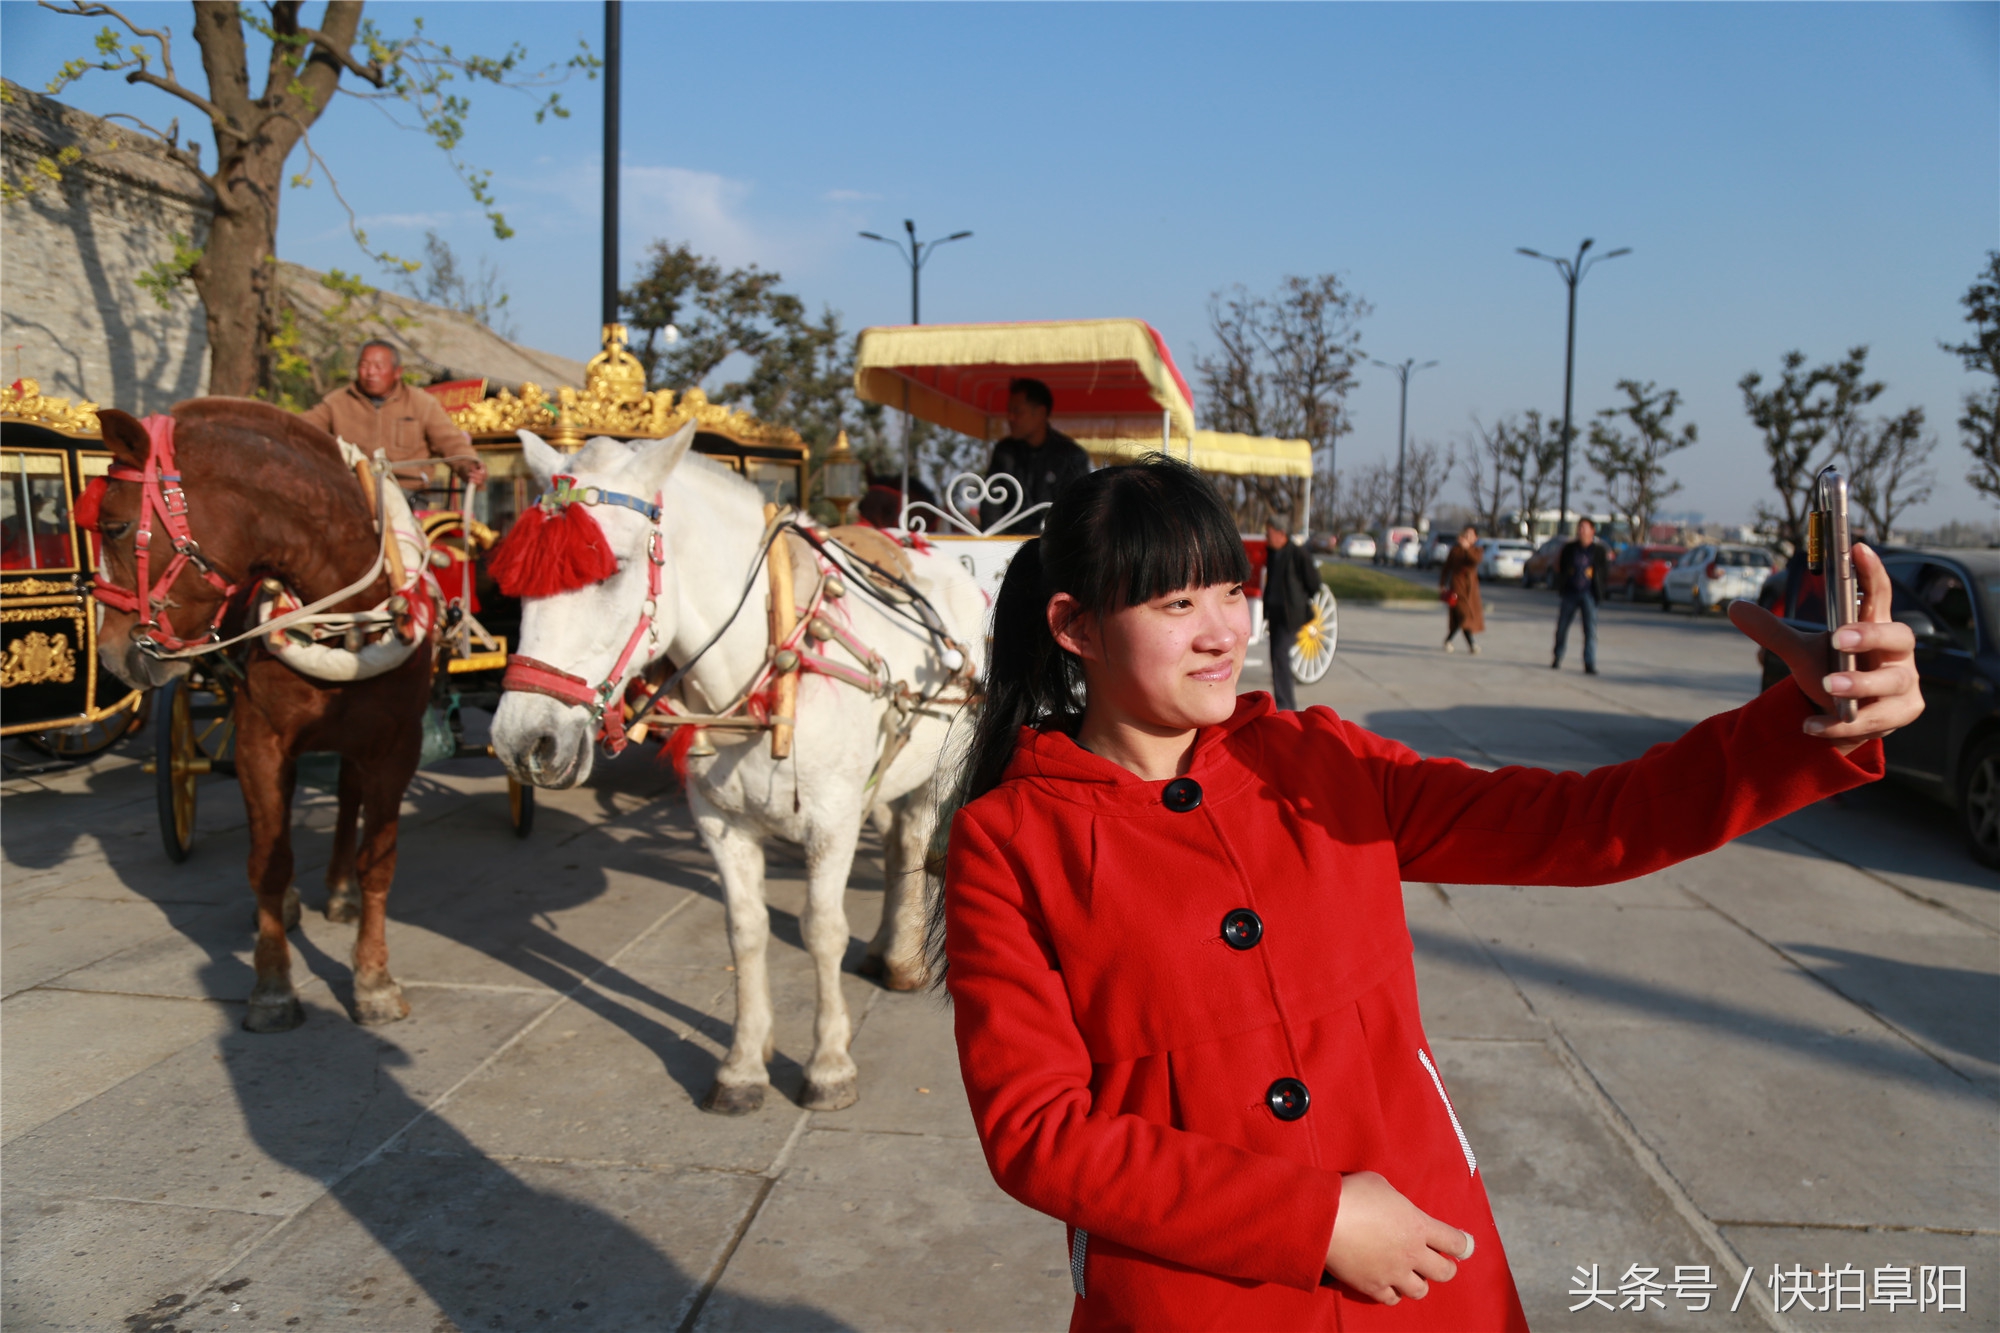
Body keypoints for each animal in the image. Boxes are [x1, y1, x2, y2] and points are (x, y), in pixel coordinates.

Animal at [92, 400, 432, 1032]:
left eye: (115, 526)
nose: (110, 654)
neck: (346, 619)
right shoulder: (260, 742)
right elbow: (269, 861)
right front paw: (272, 985)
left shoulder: (397, 745)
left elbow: (379, 863)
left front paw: (373, 978)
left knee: (346, 795)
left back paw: (340, 890)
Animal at [486, 426, 984, 1112]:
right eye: (519, 583)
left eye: (613, 569)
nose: (520, 741)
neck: (769, 667)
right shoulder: (720, 824)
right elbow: (744, 931)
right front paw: (745, 1064)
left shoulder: (832, 821)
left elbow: (821, 930)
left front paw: (829, 1064)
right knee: (897, 842)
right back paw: (890, 949)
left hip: (940, 765)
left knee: (913, 844)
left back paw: (904, 960)